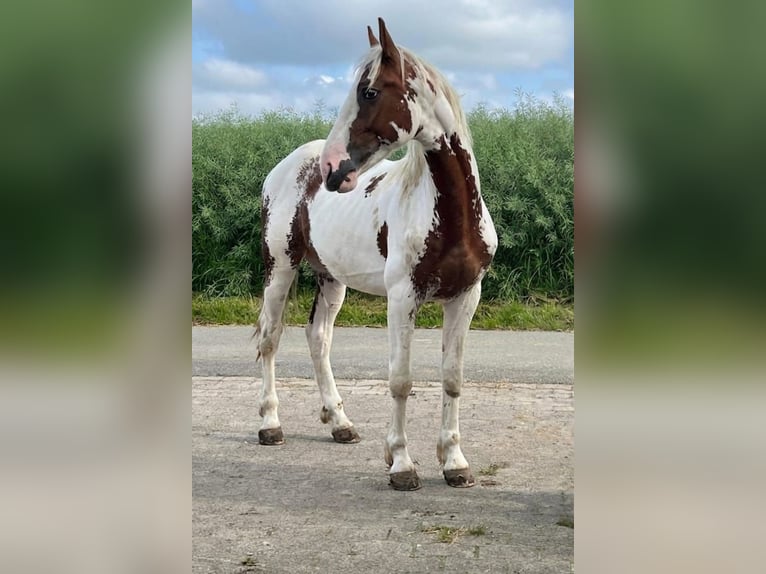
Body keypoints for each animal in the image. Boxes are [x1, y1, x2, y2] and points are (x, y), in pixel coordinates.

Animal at [255, 18, 498, 490]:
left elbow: (452, 378)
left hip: (331, 278)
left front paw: (454, 462)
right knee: (270, 337)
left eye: (368, 92)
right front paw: (401, 464)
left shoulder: (466, 297)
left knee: (318, 338)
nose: (332, 170)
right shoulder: (402, 299)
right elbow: (401, 380)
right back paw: (270, 425)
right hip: (281, 267)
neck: (449, 215)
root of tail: (286, 166)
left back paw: (340, 424)